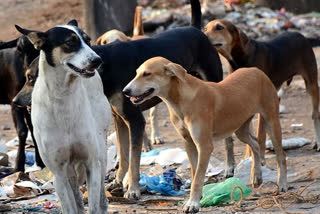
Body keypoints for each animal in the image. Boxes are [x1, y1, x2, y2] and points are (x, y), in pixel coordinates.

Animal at [16, 20, 111, 214]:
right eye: (70, 42)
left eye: (88, 40)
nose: (98, 60)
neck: (63, 96)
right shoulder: (58, 173)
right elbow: (70, 207)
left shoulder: (91, 163)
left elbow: (94, 206)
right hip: (68, 172)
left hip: (101, 151)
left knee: (101, 198)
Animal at [92, 0, 222, 199]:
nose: (127, 91)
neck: (105, 65)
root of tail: (194, 28)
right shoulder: (119, 120)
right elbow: (123, 156)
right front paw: (118, 181)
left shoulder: (135, 120)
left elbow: (134, 159)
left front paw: (133, 189)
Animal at [122, 56, 288, 212]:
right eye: (137, 73)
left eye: (147, 74)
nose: (125, 91)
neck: (181, 100)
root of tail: (257, 70)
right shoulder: (188, 143)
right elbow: (195, 173)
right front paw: (197, 197)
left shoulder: (205, 146)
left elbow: (198, 177)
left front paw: (193, 204)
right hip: (240, 128)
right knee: (255, 144)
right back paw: (256, 175)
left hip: (272, 121)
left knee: (281, 156)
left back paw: (282, 184)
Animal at [205, 19, 320, 171]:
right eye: (205, 28)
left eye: (219, 27)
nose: (202, 35)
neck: (239, 58)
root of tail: (299, 34)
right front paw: (248, 158)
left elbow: (259, 135)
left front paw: (259, 160)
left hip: (311, 83)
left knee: (315, 114)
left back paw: (317, 142)